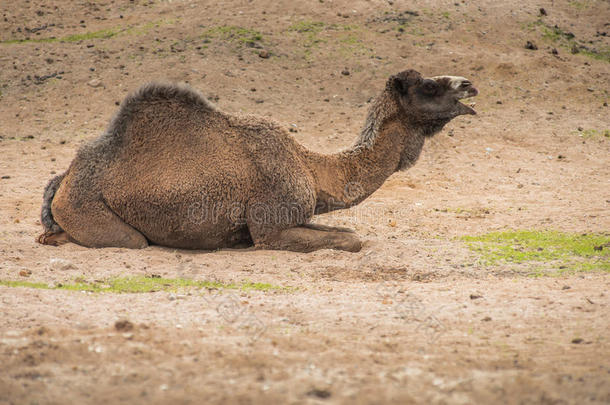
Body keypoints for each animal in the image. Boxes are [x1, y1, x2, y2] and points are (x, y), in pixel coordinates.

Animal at [36, 70, 476, 252]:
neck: (310, 167)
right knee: (130, 240)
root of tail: (66, 179)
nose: (469, 85)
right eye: (429, 86)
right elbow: (351, 240)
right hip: (87, 208)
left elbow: (347, 232)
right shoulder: (272, 227)